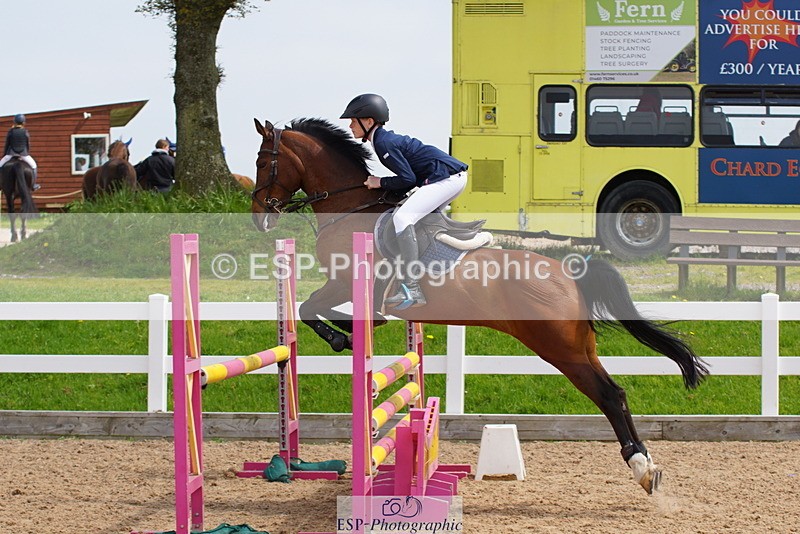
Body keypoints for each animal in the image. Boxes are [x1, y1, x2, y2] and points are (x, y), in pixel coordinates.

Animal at [250, 117, 709, 495]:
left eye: (262, 160)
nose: (259, 218)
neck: (347, 208)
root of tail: (569, 273)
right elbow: (313, 310)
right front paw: (347, 334)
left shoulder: (342, 282)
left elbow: (312, 308)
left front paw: (343, 337)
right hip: (580, 345)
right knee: (618, 391)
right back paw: (646, 467)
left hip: (560, 348)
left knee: (609, 395)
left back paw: (641, 467)